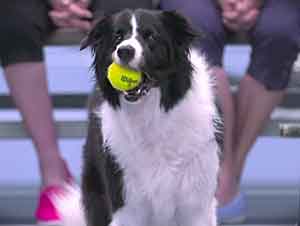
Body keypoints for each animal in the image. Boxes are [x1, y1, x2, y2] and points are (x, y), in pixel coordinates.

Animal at [54, 8, 223, 226]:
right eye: (117, 36)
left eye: (150, 35)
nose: (124, 51)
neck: (152, 117)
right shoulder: (126, 203)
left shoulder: (196, 204)